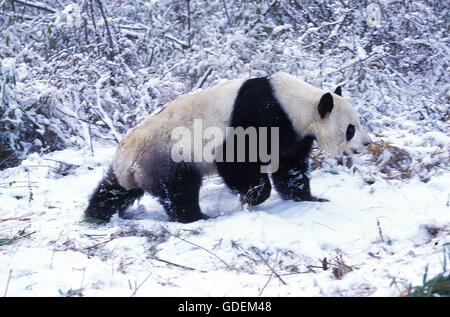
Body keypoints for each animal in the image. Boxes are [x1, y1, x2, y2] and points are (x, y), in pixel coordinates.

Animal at [83, 71, 370, 222]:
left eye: (358, 123)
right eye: (351, 128)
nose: (366, 144)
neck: (294, 103)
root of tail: (128, 166)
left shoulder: (295, 134)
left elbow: (291, 168)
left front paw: (310, 198)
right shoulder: (259, 116)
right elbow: (235, 161)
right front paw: (253, 196)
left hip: (136, 167)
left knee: (113, 190)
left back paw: (94, 214)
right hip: (167, 155)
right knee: (179, 189)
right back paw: (196, 217)